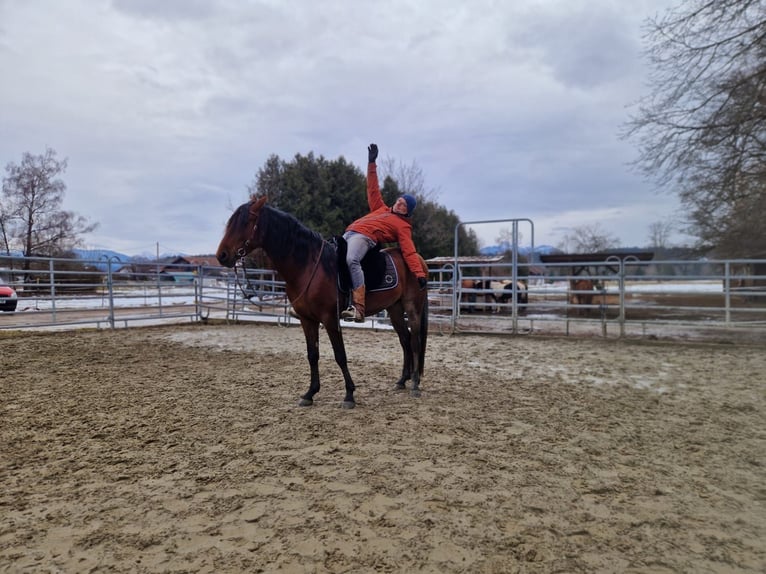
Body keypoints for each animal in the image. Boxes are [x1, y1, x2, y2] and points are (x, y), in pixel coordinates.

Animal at [216, 196, 429, 408]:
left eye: (245, 222)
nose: (222, 255)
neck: (308, 267)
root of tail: (419, 262)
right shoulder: (307, 320)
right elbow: (312, 355)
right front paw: (310, 393)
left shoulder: (330, 319)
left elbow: (340, 355)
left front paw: (349, 395)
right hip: (394, 309)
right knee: (405, 340)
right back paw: (402, 381)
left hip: (412, 308)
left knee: (415, 341)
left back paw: (415, 384)